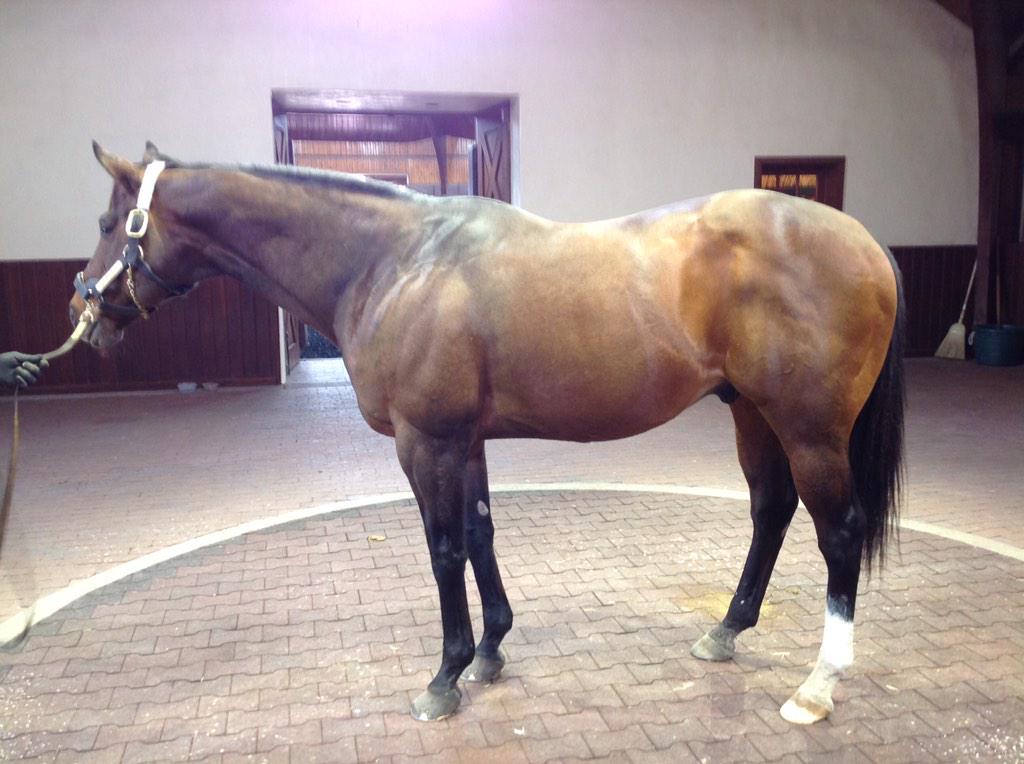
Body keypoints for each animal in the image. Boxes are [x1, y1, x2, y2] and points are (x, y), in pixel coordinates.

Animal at [71, 141, 904, 725]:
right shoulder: (462, 440)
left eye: (113, 224)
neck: (395, 261)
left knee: (839, 532)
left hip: (809, 429)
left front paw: (444, 676)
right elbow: (478, 533)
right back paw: (725, 631)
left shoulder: (424, 440)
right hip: (751, 412)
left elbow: (442, 549)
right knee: (771, 511)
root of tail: (867, 243)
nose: (84, 310)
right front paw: (492, 651)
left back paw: (818, 686)